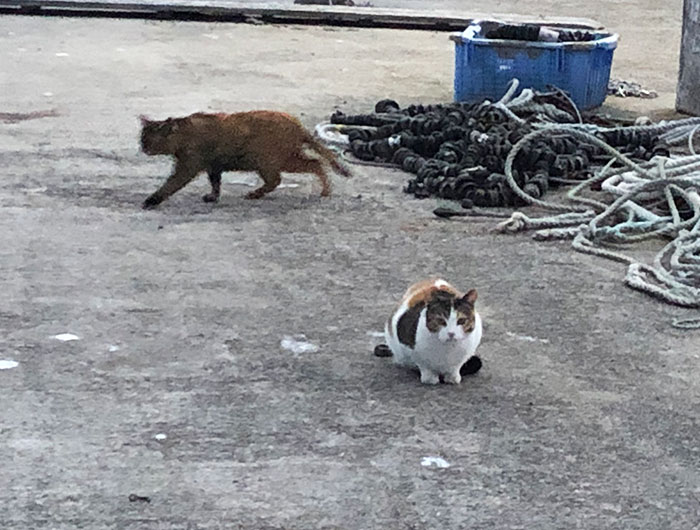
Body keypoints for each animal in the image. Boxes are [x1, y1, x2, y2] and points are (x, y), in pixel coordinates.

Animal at [138, 110, 348, 207]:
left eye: (148, 141)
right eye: (142, 139)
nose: (142, 149)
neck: (184, 133)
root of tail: (298, 125)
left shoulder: (187, 167)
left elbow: (170, 185)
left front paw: (152, 200)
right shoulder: (213, 166)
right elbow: (215, 183)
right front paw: (213, 196)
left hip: (272, 161)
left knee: (304, 169)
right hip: (283, 158)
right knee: (311, 164)